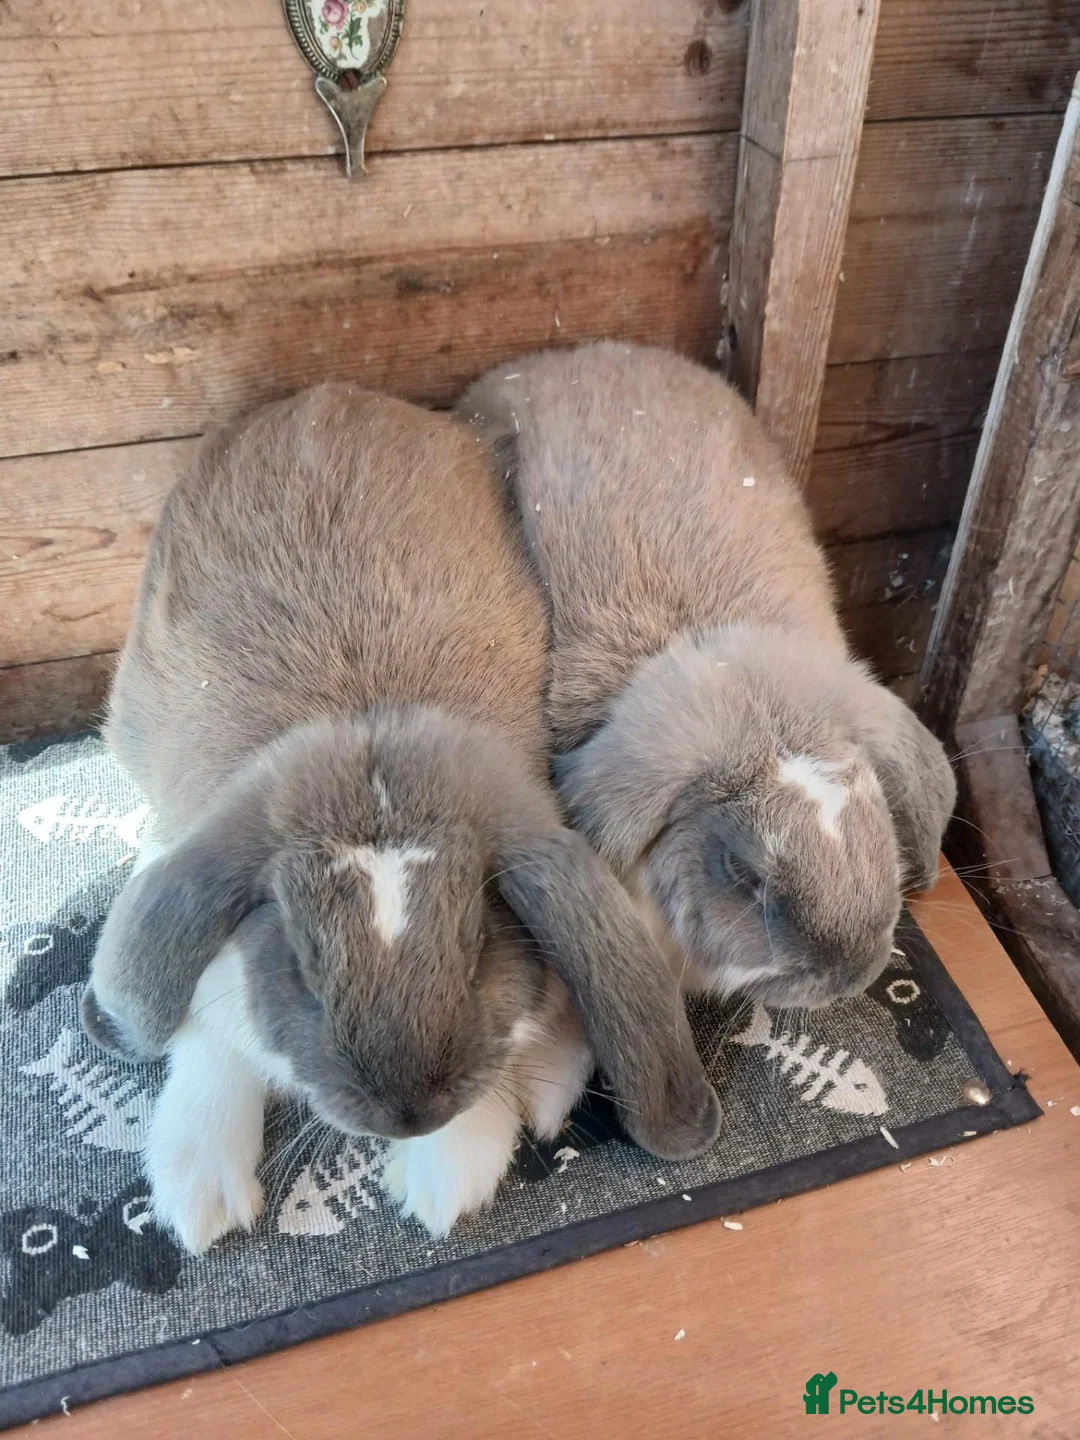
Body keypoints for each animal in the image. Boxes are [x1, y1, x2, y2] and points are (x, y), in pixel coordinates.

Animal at [80, 383, 720, 1254]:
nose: (408, 1113)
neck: (371, 732)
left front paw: (443, 1180)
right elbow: (212, 1040)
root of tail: (330, 395)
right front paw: (199, 1195)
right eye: (304, 970)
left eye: (479, 949)